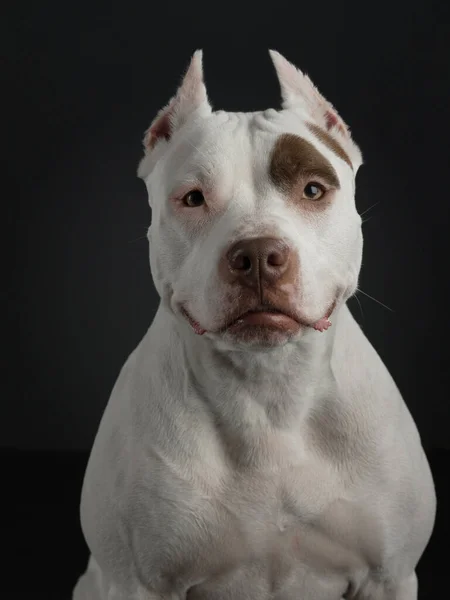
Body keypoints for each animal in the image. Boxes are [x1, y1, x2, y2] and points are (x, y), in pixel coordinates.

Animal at [73, 52, 436, 600]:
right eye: (194, 198)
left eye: (313, 189)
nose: (259, 256)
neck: (270, 392)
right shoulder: (137, 583)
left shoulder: (389, 576)